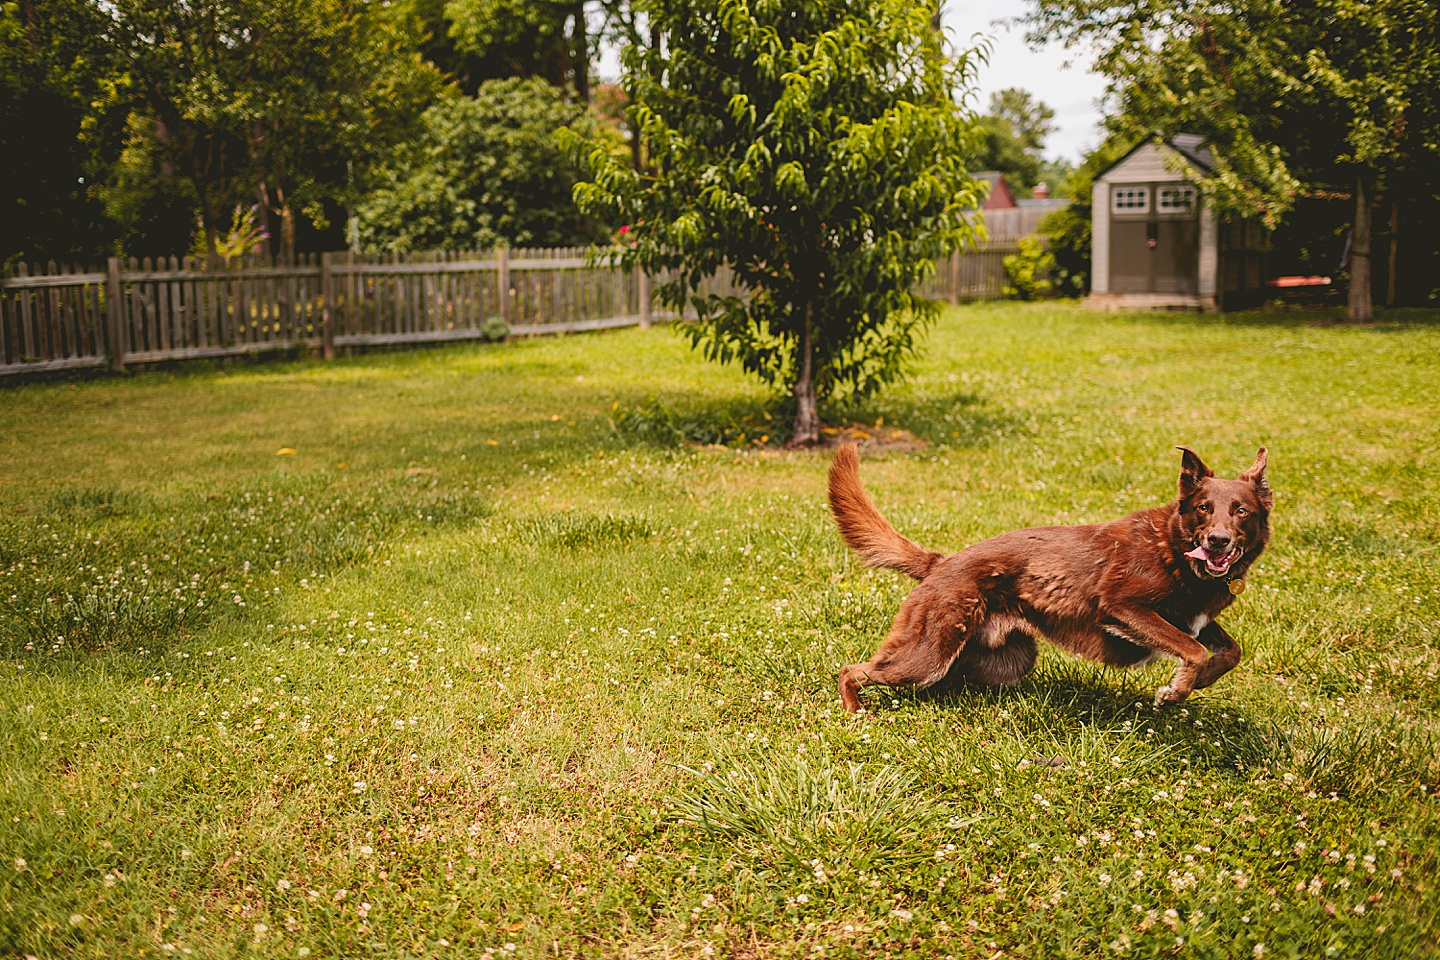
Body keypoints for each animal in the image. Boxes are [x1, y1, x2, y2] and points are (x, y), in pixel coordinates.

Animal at [823, 446, 1272, 711]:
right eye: (1202, 508)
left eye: (1241, 511)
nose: (1217, 541)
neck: (1173, 547)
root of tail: (941, 562)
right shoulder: (1123, 606)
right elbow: (1193, 650)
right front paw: (1174, 692)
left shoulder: (1195, 618)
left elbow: (1230, 651)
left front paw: (1201, 682)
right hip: (929, 654)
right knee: (852, 670)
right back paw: (855, 714)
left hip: (1006, 660)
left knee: (945, 683)